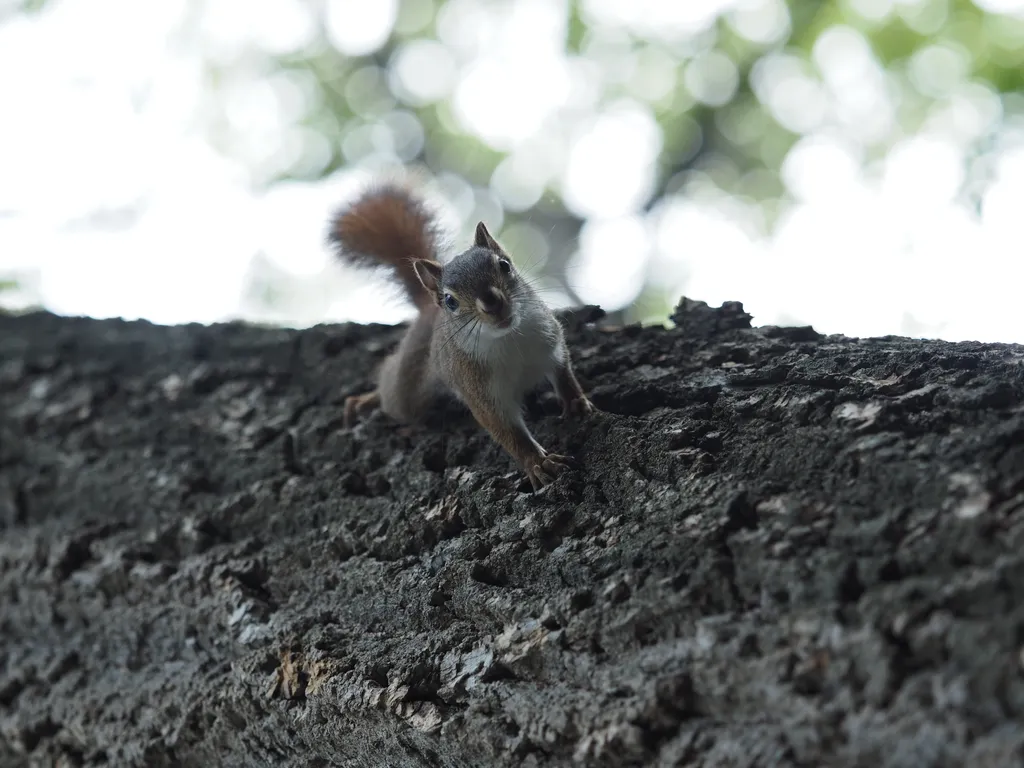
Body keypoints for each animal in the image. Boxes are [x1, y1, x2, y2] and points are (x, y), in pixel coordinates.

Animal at [327, 182, 598, 493]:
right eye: (450, 301)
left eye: (504, 265)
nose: (493, 303)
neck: (508, 340)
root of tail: (429, 311)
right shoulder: (479, 391)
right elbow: (507, 432)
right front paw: (538, 463)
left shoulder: (550, 342)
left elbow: (564, 374)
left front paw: (576, 403)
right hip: (407, 391)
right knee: (391, 388)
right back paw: (366, 399)